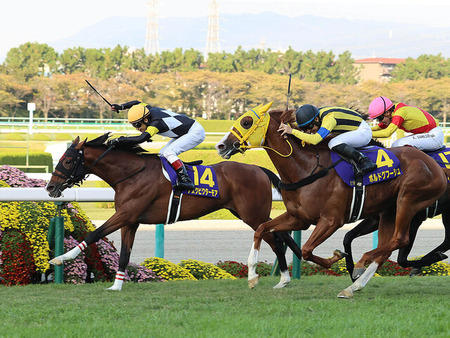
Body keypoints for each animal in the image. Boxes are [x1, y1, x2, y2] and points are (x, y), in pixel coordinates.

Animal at [45, 133, 300, 290]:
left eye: (68, 161)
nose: (50, 188)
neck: (131, 174)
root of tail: (258, 168)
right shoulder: (131, 221)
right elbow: (125, 253)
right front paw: (116, 285)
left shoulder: (126, 214)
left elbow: (94, 234)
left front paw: (60, 258)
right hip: (248, 213)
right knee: (279, 236)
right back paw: (285, 278)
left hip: (253, 215)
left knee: (276, 241)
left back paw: (279, 279)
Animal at [215, 101, 446, 298]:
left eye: (246, 122)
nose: (221, 146)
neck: (307, 168)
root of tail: (435, 166)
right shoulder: (298, 217)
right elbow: (262, 229)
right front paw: (253, 277)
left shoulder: (332, 220)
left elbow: (306, 250)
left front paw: (335, 258)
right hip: (389, 210)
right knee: (387, 247)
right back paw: (354, 286)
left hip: (408, 200)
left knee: (400, 239)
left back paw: (362, 263)